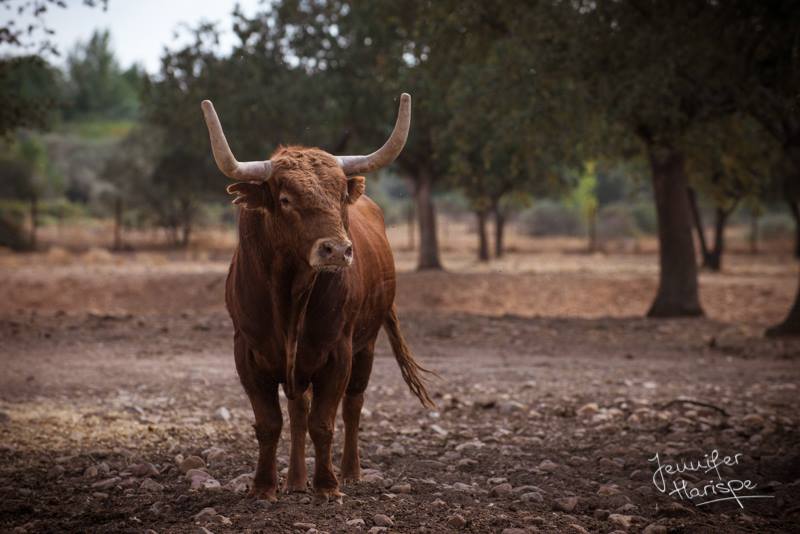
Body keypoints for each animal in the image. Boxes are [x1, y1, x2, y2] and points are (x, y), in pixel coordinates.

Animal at [199, 93, 435, 502]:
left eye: (339, 194)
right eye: (285, 198)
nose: (337, 250)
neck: (290, 296)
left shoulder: (337, 352)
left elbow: (323, 422)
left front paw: (327, 485)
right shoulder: (247, 353)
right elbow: (270, 423)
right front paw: (264, 486)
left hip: (366, 345)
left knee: (353, 405)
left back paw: (351, 472)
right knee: (297, 411)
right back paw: (295, 480)